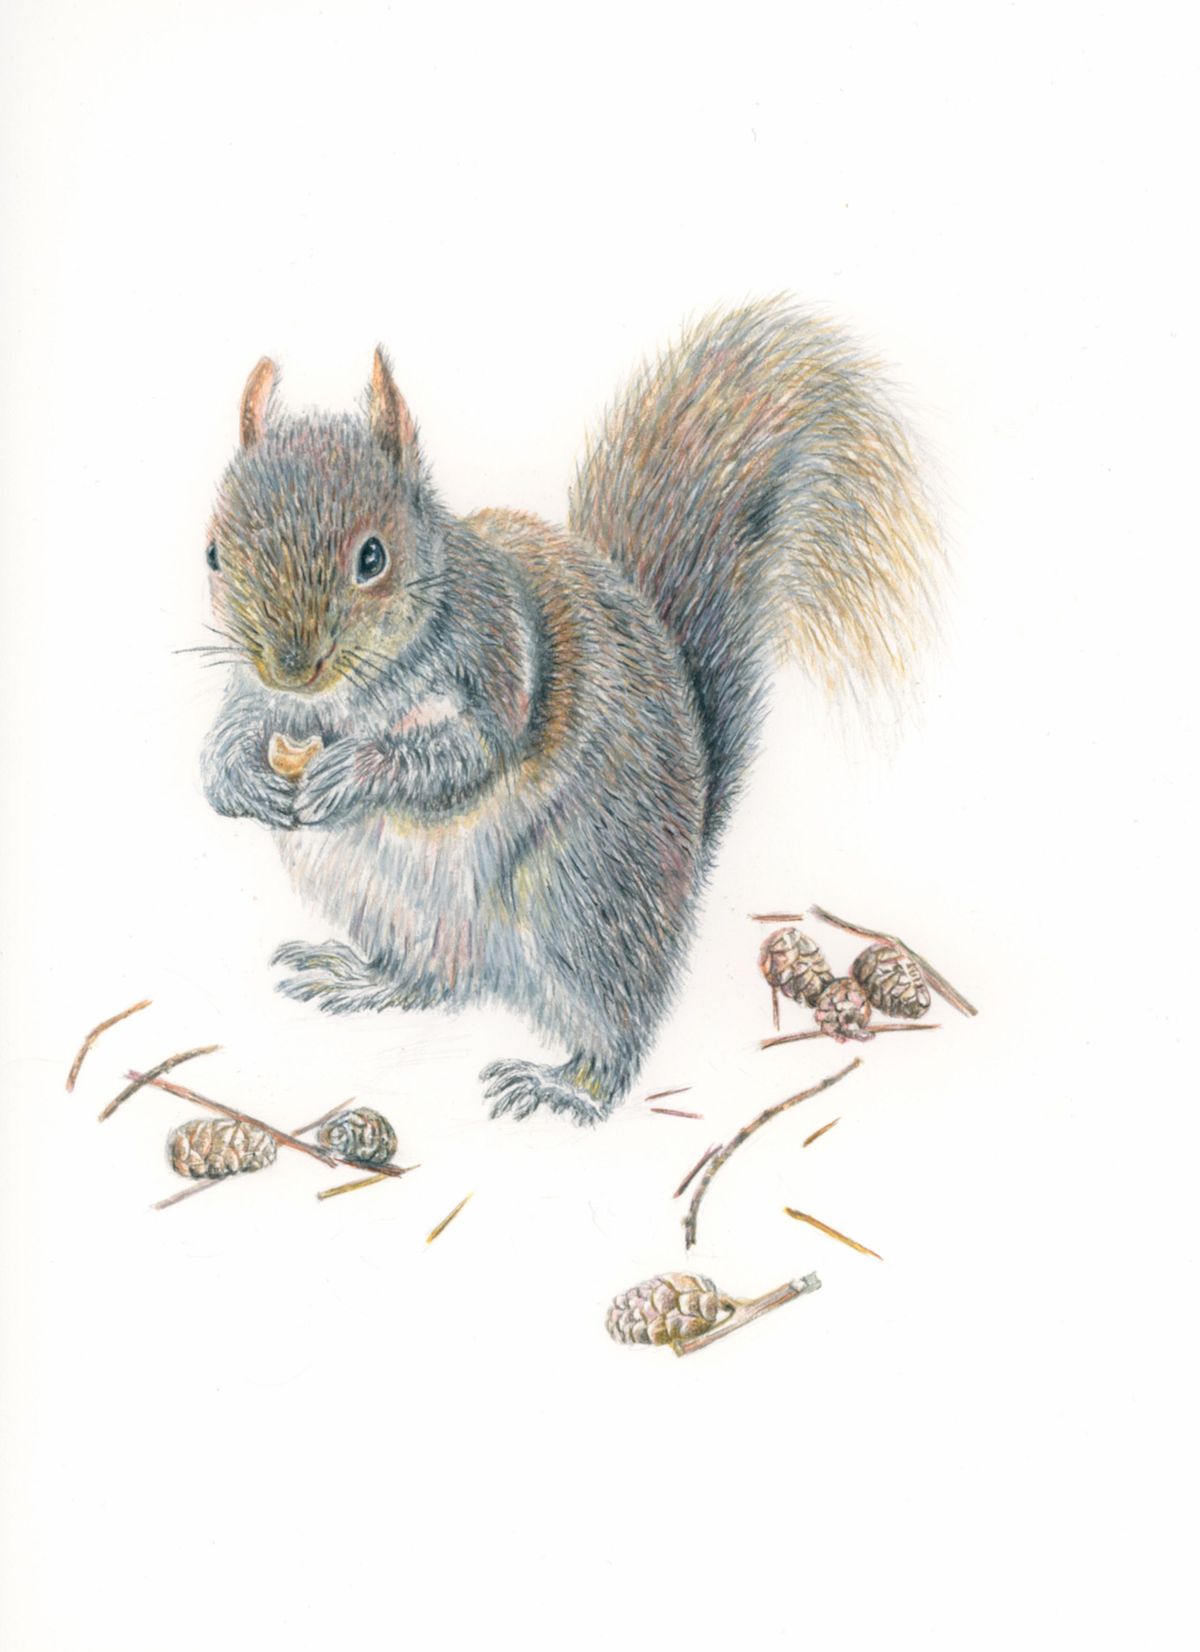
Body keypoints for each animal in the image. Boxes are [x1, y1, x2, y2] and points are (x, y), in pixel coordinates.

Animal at [200, 299, 941, 1125]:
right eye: (214, 554)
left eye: (372, 557)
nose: (291, 668)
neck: (343, 700)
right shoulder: (256, 694)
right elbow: (234, 723)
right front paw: (233, 776)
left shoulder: (498, 659)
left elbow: (464, 754)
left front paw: (356, 772)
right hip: (387, 903)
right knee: (425, 979)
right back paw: (359, 975)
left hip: (579, 907)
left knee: (612, 1028)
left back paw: (566, 1084)